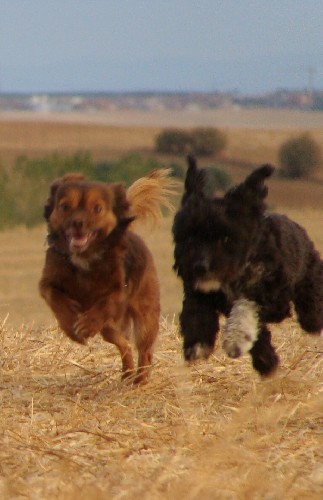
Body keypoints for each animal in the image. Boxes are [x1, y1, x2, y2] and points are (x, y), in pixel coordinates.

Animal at [40, 169, 177, 382]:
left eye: (97, 208)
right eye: (64, 206)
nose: (78, 222)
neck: (84, 257)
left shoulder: (120, 289)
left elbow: (107, 301)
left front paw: (87, 325)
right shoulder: (47, 282)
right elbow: (56, 298)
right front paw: (71, 326)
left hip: (145, 316)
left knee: (144, 350)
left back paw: (141, 379)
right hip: (113, 328)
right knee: (125, 344)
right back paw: (127, 373)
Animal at [173, 156, 322, 376]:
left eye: (226, 237)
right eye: (189, 235)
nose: (199, 266)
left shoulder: (272, 298)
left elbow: (244, 306)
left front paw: (236, 338)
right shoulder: (199, 292)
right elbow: (195, 310)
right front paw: (197, 342)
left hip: (308, 283)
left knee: (311, 312)